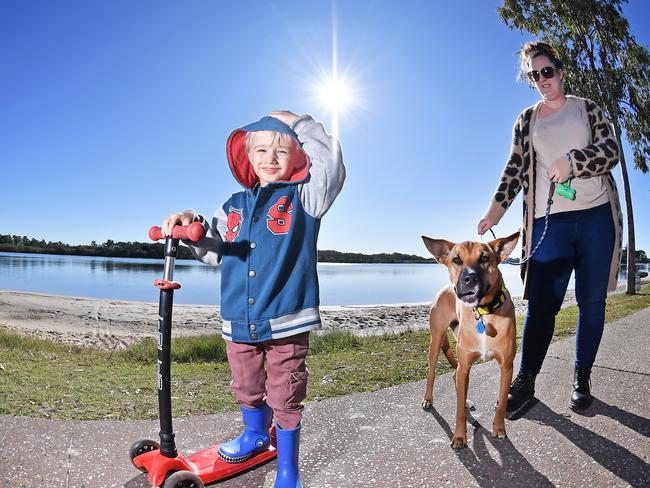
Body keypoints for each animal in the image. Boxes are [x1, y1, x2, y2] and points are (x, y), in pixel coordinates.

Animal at [420, 233, 516, 450]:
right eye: (457, 259)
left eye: (484, 258)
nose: (469, 278)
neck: (484, 313)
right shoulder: (464, 364)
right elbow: (458, 412)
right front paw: (459, 436)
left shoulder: (507, 366)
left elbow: (502, 403)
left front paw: (499, 429)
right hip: (436, 342)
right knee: (432, 373)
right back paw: (428, 399)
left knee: (456, 377)